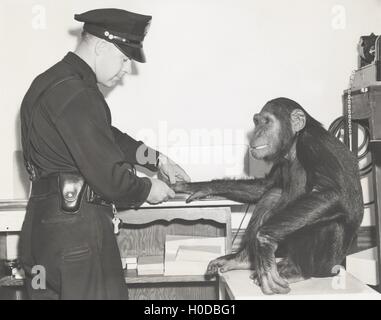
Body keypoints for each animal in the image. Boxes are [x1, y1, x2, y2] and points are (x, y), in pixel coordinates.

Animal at [172, 97, 362, 296]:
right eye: (257, 122)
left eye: (267, 121)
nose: (257, 132)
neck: (293, 145)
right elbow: (265, 185)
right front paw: (200, 187)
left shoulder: (313, 144)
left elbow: (333, 193)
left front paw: (264, 241)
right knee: (272, 194)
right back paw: (243, 259)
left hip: (327, 265)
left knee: (326, 215)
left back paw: (296, 270)